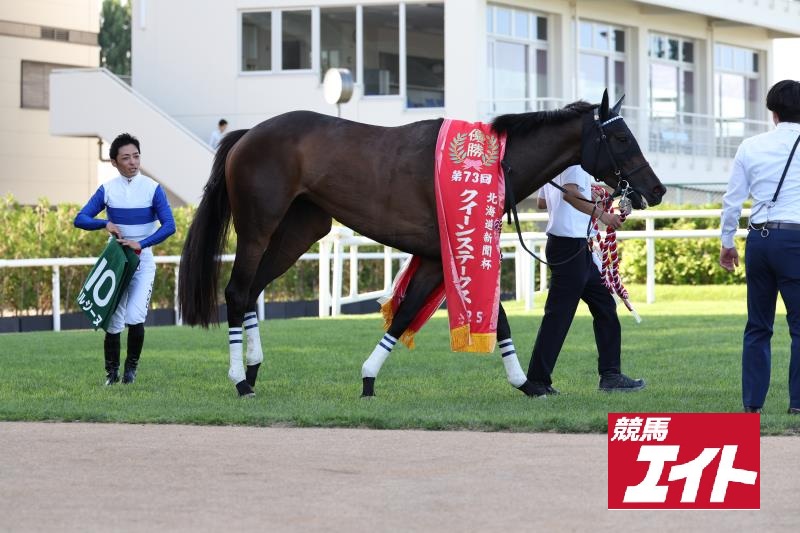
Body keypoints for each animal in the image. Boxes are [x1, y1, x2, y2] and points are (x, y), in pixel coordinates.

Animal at [178, 90, 666, 398]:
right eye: (621, 137)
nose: (657, 190)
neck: (493, 164)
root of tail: (246, 134)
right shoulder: (461, 247)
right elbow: (497, 318)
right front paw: (527, 382)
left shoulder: (437, 255)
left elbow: (408, 314)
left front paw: (368, 378)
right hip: (259, 226)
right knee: (237, 290)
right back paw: (240, 381)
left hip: (300, 230)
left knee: (253, 290)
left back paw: (254, 369)